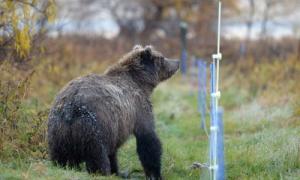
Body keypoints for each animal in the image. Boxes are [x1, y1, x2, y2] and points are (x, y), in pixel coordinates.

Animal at [47, 45, 178, 179]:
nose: (177, 62)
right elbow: (147, 137)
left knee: (60, 156)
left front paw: (117, 170)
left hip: (57, 132)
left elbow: (114, 152)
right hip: (95, 127)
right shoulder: (138, 108)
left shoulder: (117, 126)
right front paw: (154, 173)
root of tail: (70, 108)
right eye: (162, 58)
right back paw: (102, 172)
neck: (141, 83)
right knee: (97, 156)